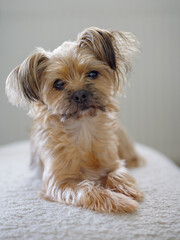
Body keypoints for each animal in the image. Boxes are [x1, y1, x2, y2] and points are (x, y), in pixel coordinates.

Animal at [5, 26, 145, 214]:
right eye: (58, 84)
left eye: (92, 73)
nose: (80, 94)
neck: (83, 128)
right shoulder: (60, 183)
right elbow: (88, 189)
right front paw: (120, 202)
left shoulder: (114, 163)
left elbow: (118, 175)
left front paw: (129, 191)